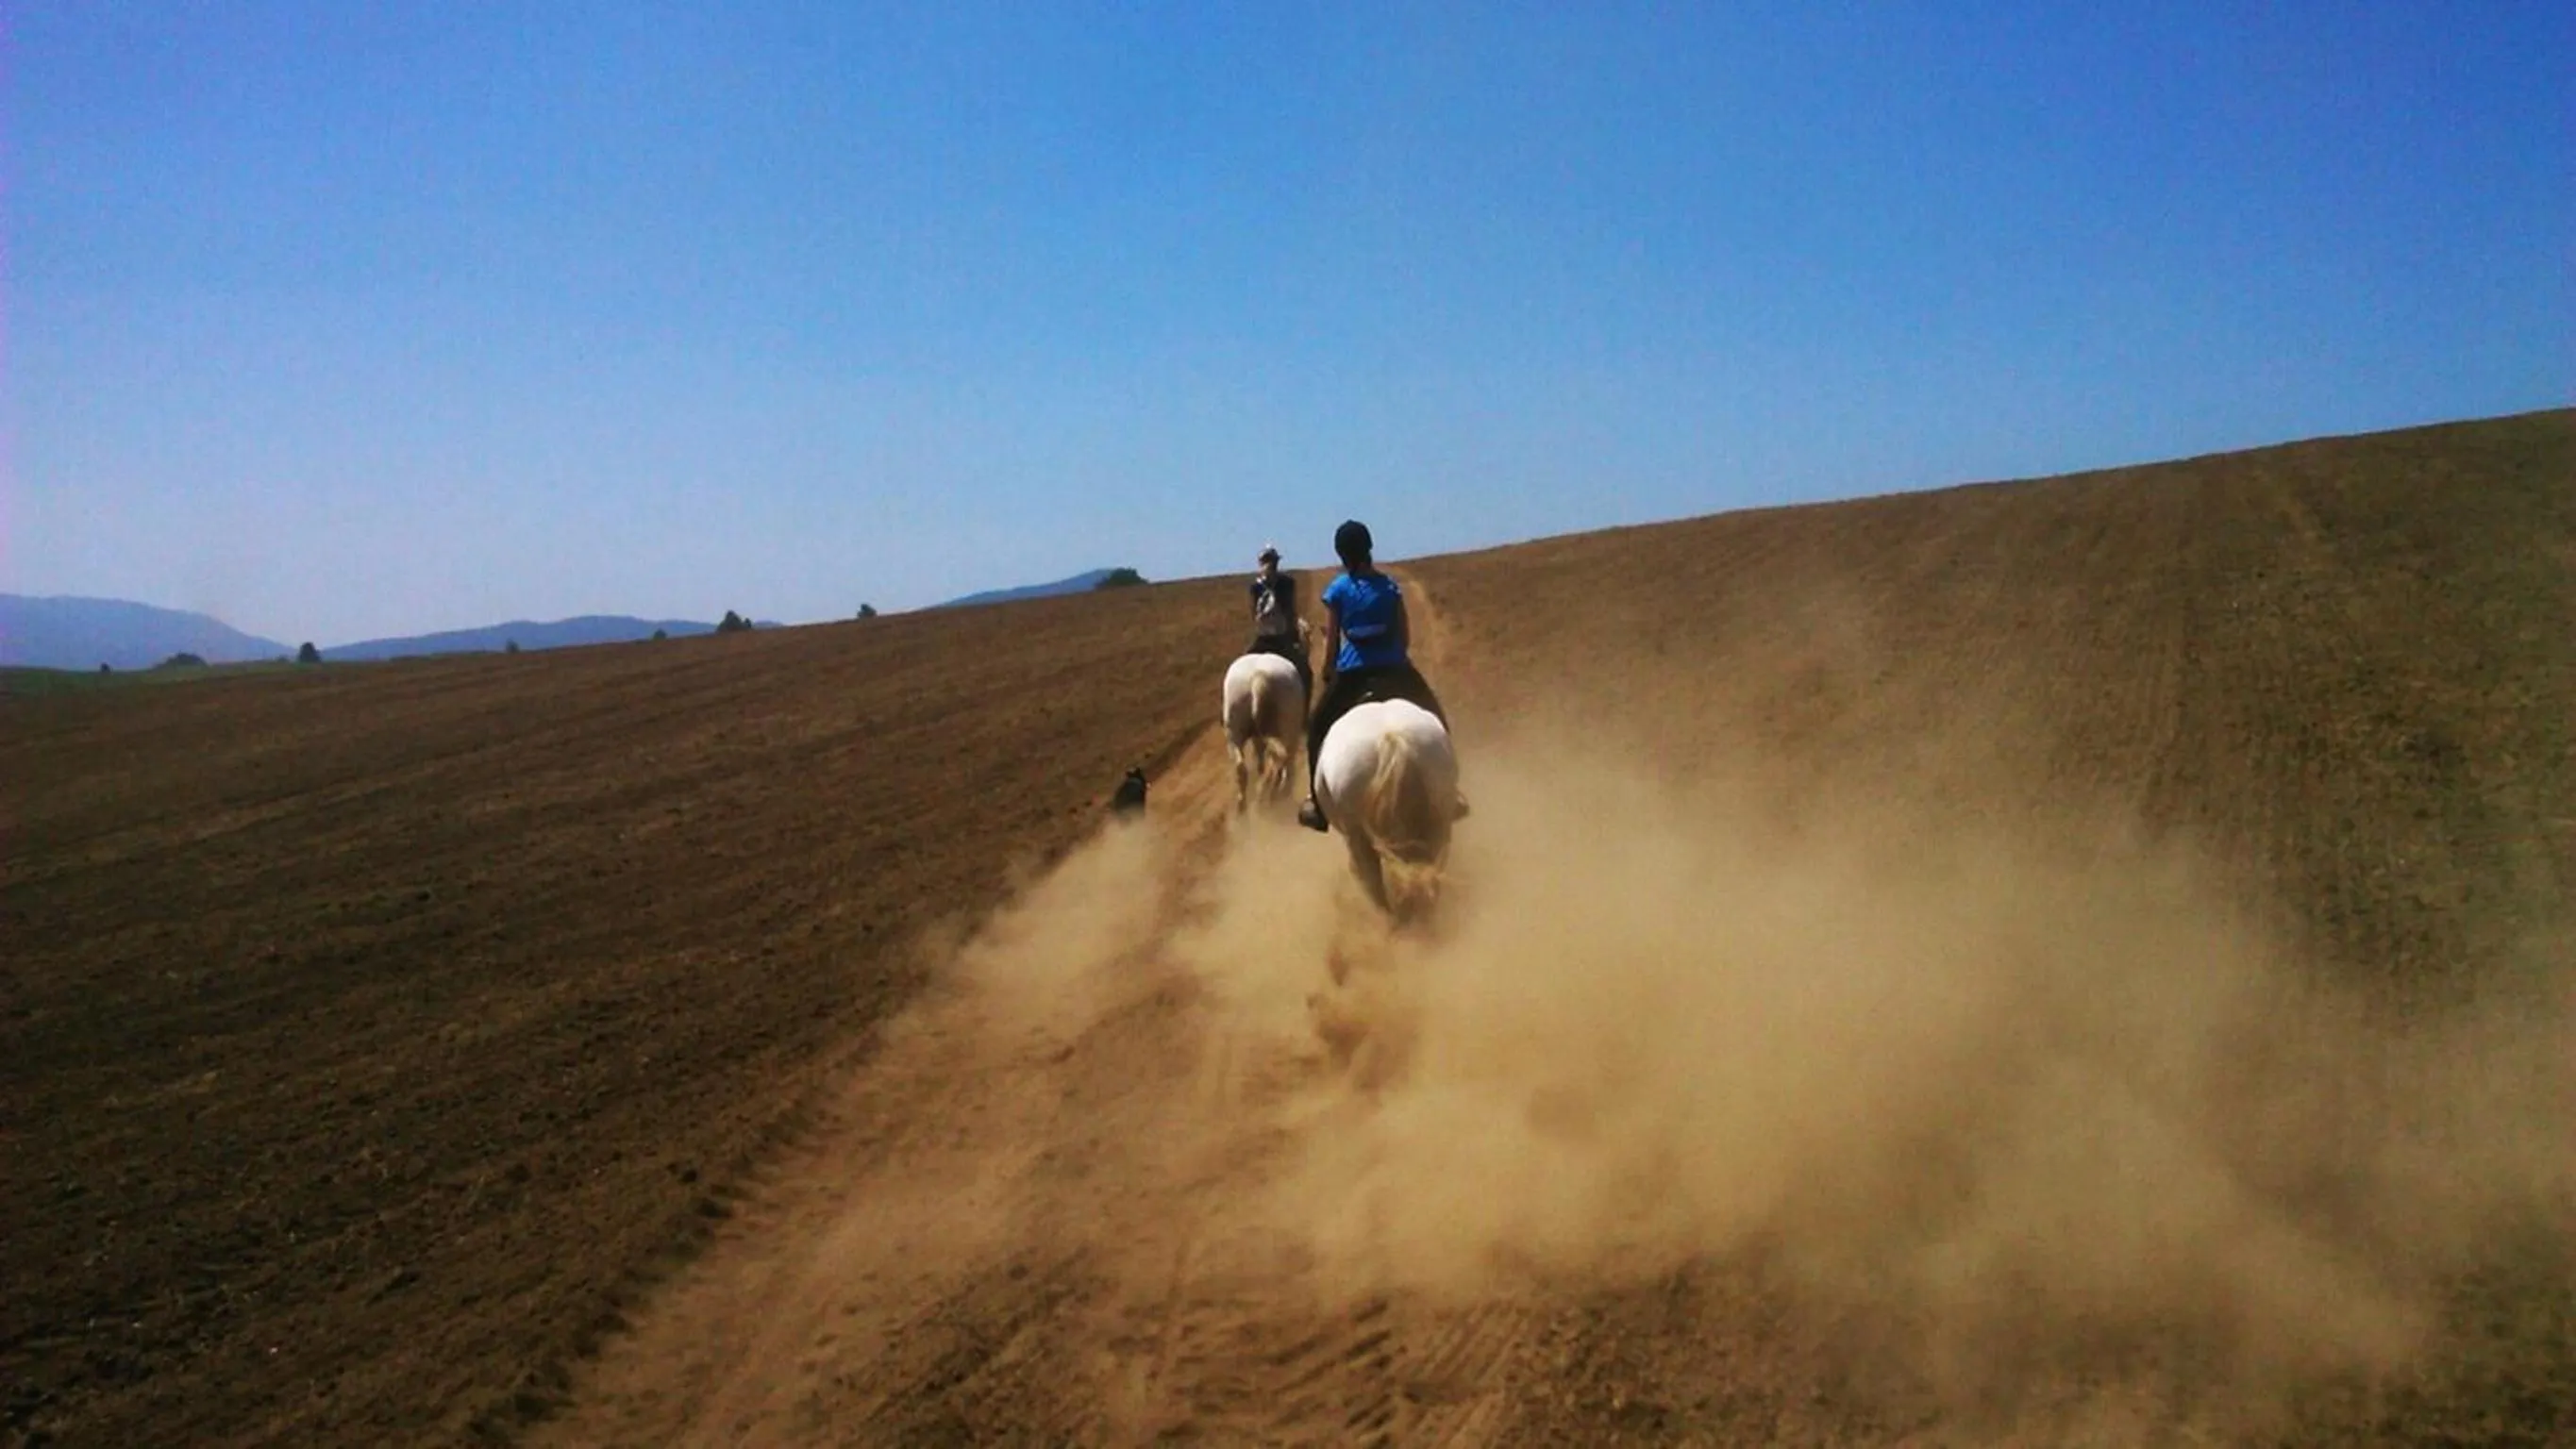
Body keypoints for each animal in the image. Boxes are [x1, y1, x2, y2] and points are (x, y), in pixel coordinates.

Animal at [1221, 650, 1306, 813]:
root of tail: (1258, 675)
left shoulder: (1257, 737)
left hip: (1234, 732)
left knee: (1241, 767)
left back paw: (1244, 805)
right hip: (1288, 731)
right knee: (1281, 759)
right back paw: (1271, 793)